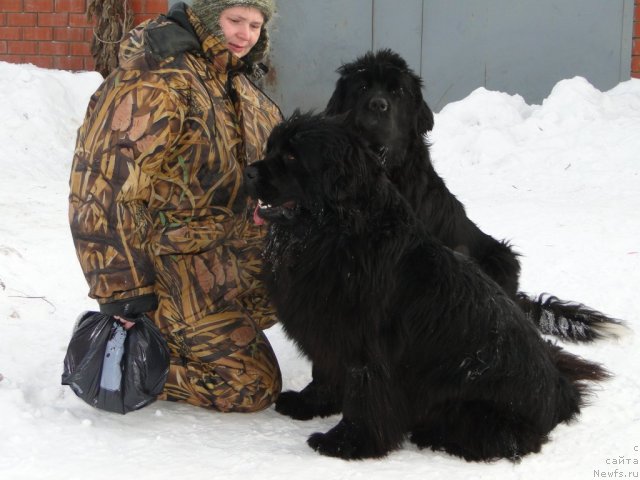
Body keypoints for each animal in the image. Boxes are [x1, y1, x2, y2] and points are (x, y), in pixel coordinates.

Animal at [245, 112, 608, 462]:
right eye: (271, 148)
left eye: (292, 156)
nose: (248, 172)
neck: (335, 234)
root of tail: (562, 392)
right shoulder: (329, 333)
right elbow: (323, 374)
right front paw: (308, 404)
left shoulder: (367, 349)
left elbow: (363, 398)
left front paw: (346, 444)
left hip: (472, 404)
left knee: (508, 440)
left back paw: (434, 437)